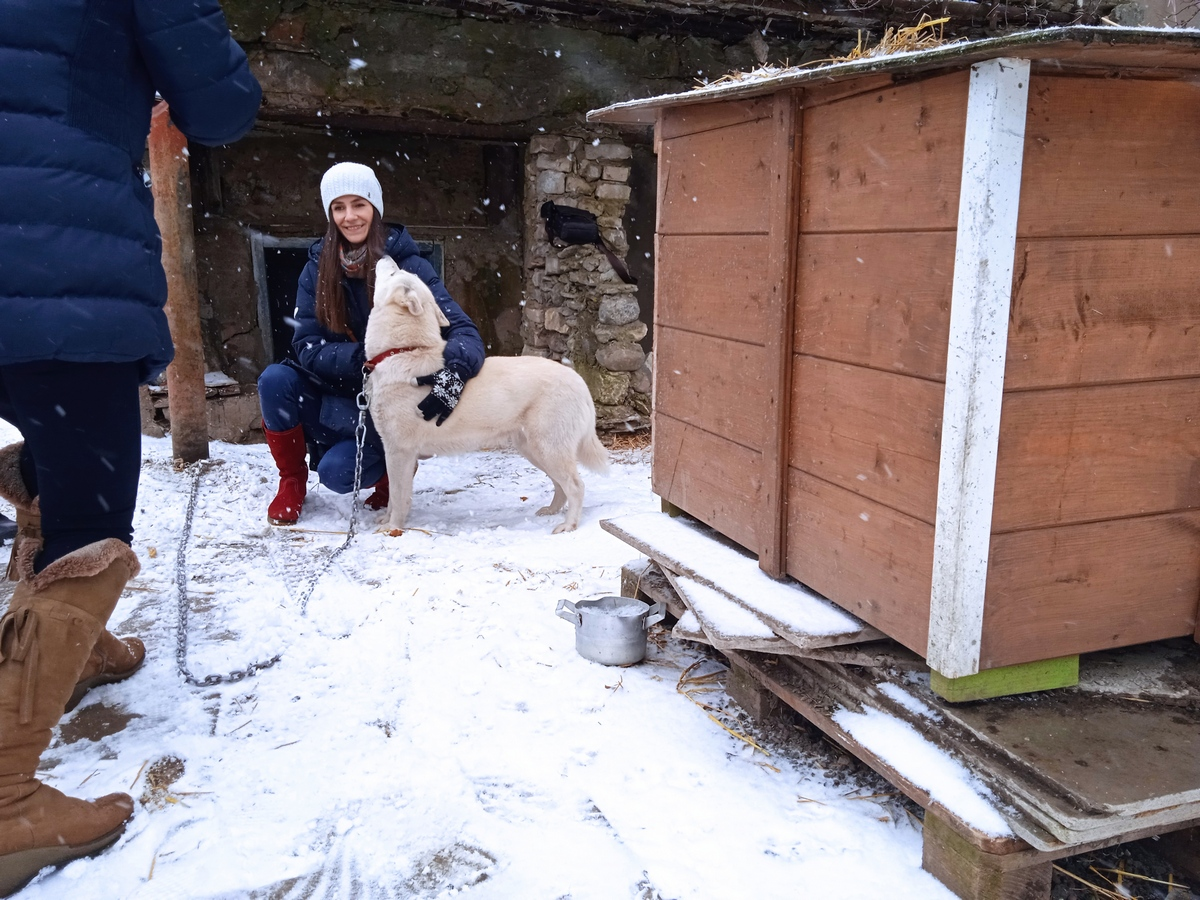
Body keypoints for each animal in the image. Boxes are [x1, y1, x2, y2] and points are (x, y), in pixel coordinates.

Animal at [362, 255, 609, 535]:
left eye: (395, 273)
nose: (386, 256)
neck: (403, 351)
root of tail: (578, 380)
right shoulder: (394, 451)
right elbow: (393, 498)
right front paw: (386, 520)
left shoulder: (400, 451)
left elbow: (398, 495)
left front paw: (393, 527)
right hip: (534, 450)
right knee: (561, 485)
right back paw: (551, 511)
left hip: (549, 448)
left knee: (576, 486)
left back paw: (568, 525)